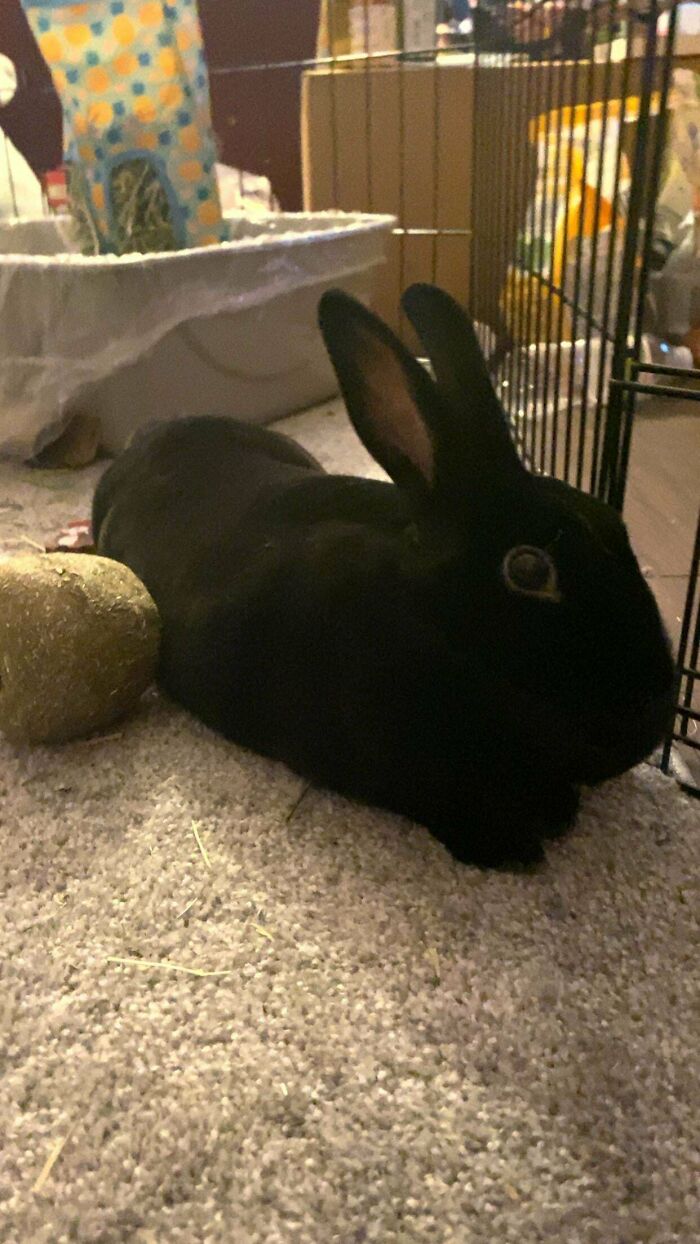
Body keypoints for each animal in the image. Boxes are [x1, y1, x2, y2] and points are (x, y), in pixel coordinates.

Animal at [92, 282, 671, 865]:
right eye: (529, 569)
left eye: (614, 522)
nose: (652, 720)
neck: (429, 622)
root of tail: (150, 435)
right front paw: (514, 847)